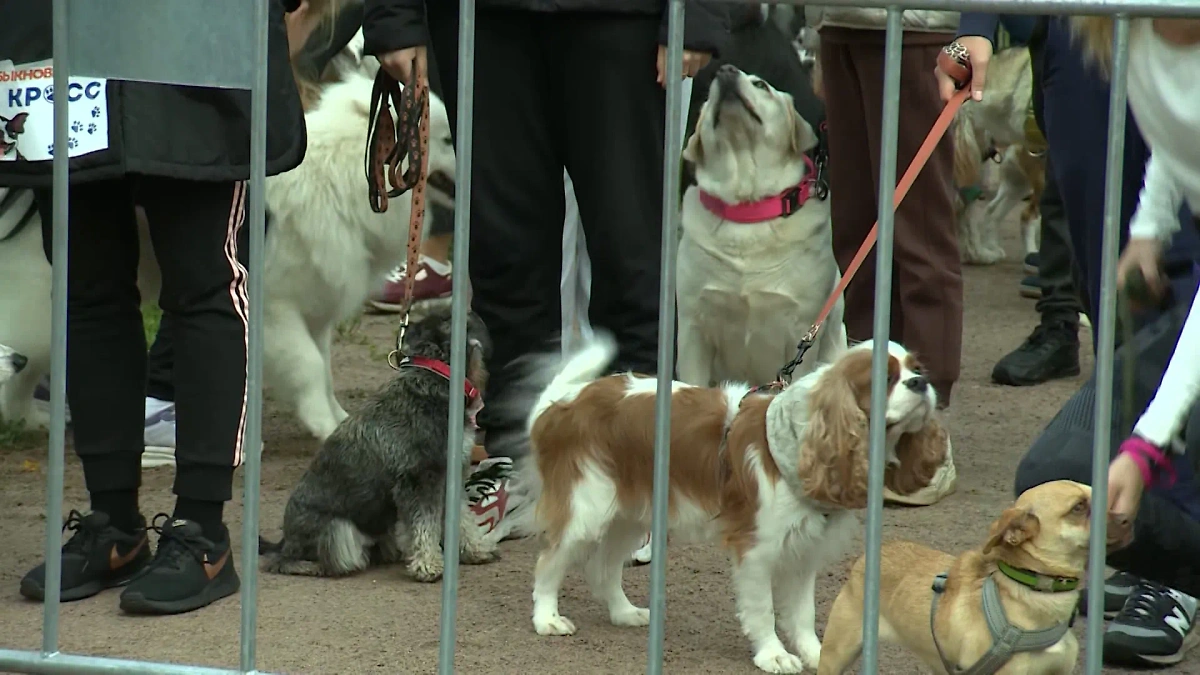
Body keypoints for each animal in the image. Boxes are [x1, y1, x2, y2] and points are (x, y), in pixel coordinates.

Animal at [681, 66, 849, 389]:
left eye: (761, 85)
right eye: (708, 97)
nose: (725, 70)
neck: (749, 209)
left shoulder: (802, 329)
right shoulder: (693, 326)